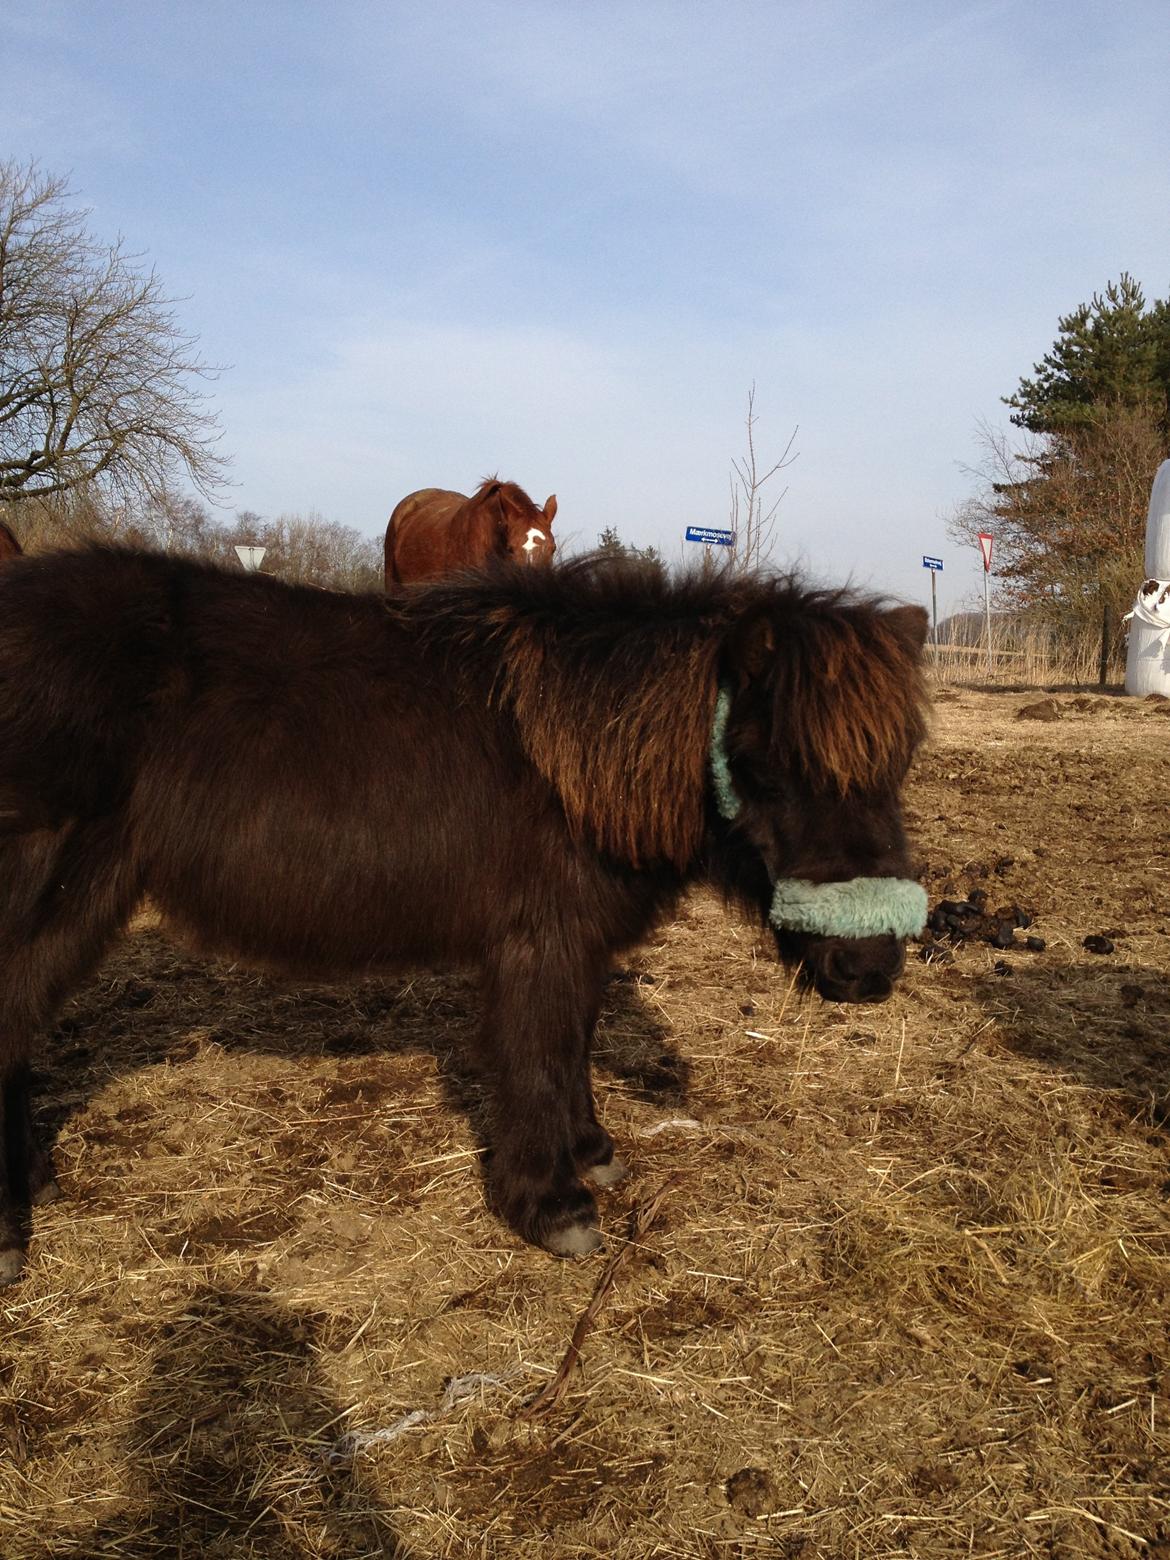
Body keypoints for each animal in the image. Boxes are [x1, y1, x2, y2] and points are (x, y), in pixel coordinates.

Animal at [0, 542, 935, 1272]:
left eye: (898, 767)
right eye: (765, 765)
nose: (868, 967)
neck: (578, 756)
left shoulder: (577, 943)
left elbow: (575, 1043)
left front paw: (591, 1154)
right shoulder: (537, 943)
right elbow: (539, 1056)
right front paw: (553, 1206)